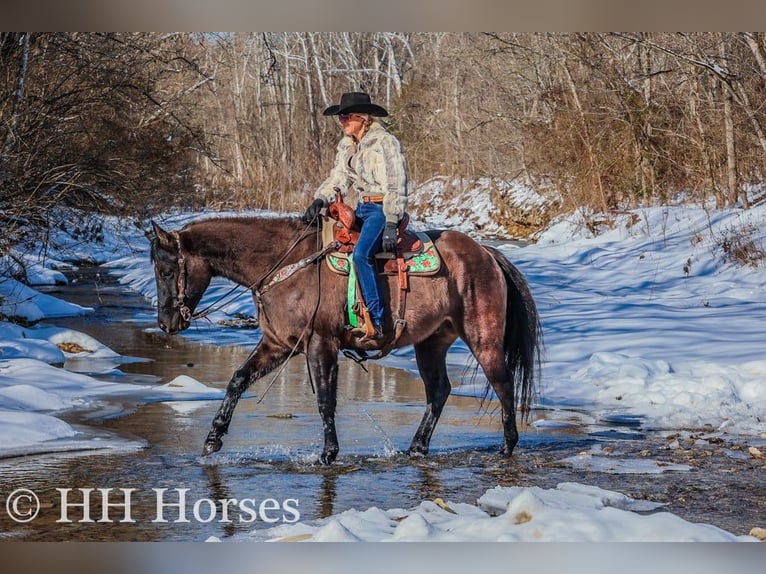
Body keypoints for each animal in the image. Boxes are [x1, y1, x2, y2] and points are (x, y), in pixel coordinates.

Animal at [150, 214, 544, 466]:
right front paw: (212, 440)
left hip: (482, 337)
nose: (166, 322)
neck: (286, 265)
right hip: (431, 343)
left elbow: (326, 400)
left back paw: (507, 447)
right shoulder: (278, 345)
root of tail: (486, 253)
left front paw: (328, 453)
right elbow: (237, 380)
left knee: (502, 383)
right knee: (438, 391)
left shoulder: (320, 344)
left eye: (166, 270)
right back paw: (417, 448)